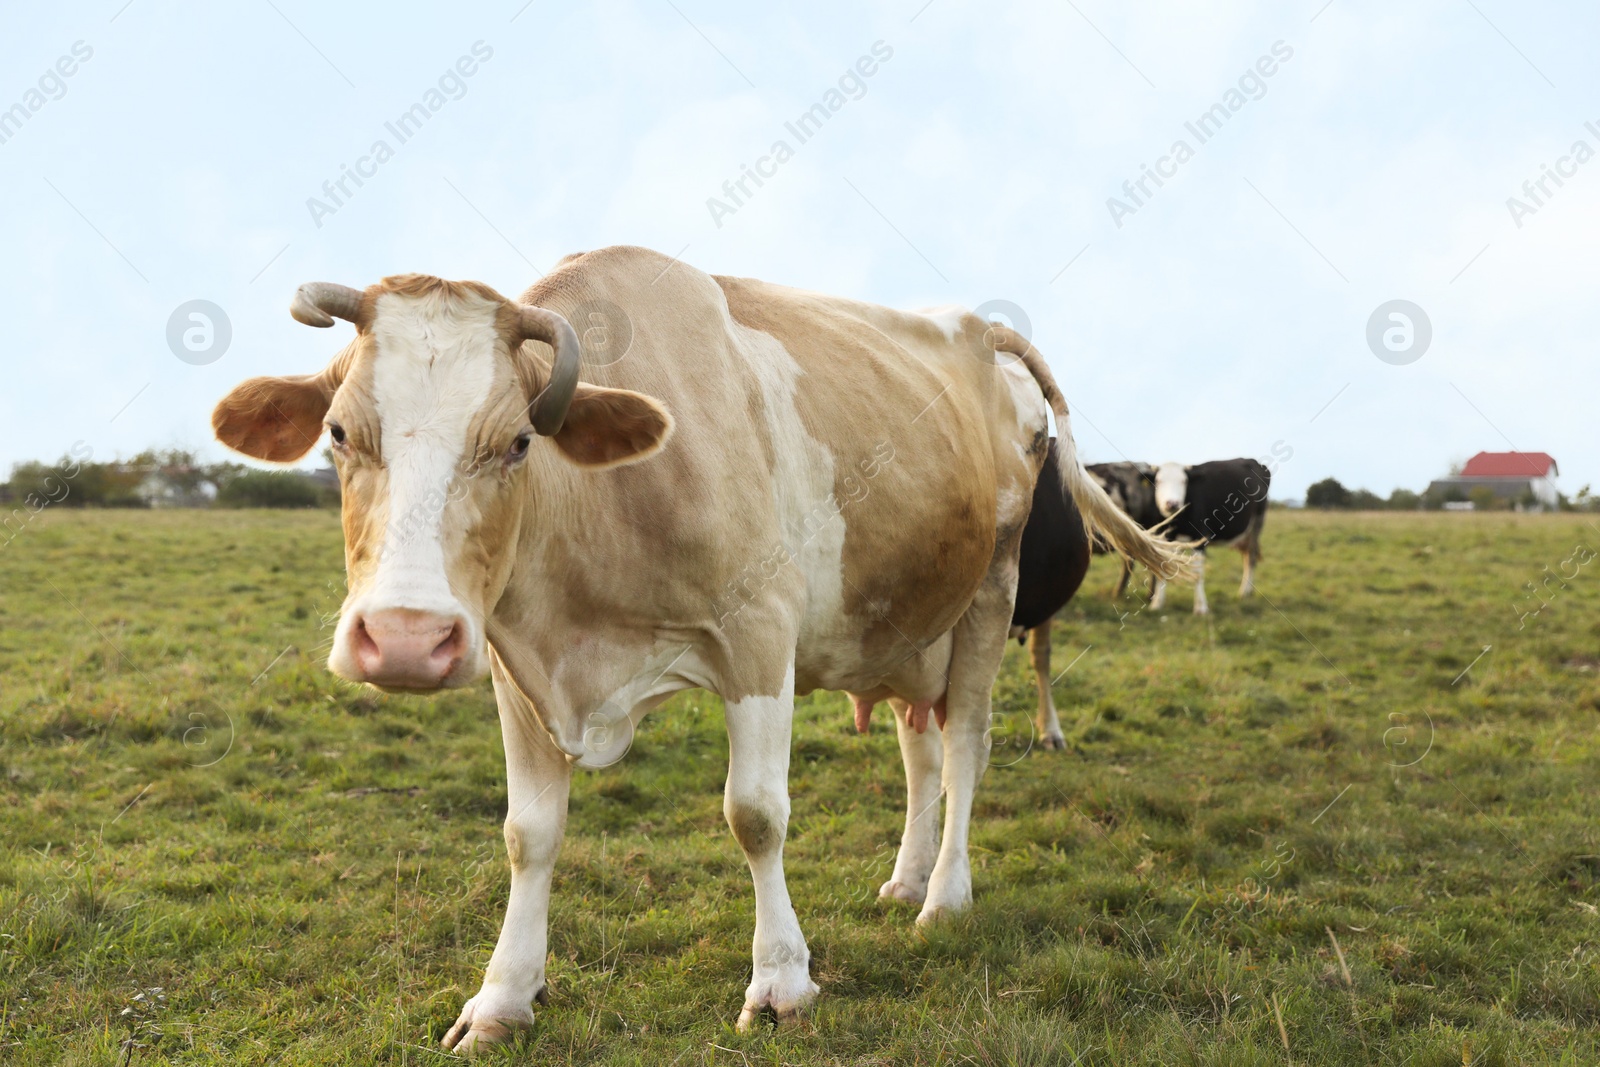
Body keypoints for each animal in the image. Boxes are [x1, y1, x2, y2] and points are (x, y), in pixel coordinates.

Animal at [1152, 460, 1273, 617]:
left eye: (1184, 481)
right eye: (1158, 481)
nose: (1172, 503)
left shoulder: (1199, 540)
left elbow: (1197, 573)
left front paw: (1201, 608)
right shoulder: (1164, 540)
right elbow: (1161, 568)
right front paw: (1157, 604)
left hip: (1256, 525)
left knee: (1250, 559)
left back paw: (1244, 592)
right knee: (1246, 557)